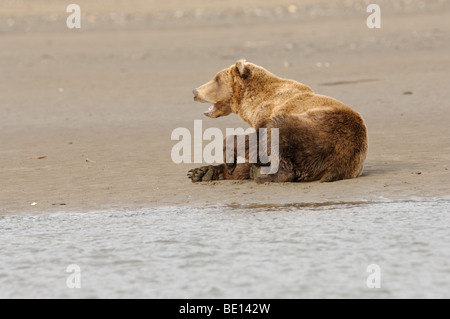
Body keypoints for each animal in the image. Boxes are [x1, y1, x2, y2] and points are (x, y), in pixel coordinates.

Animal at [188, 60, 368, 185]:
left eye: (216, 79)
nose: (195, 91)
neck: (253, 104)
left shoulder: (270, 113)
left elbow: (257, 141)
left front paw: (229, 160)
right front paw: (200, 172)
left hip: (321, 130)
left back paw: (266, 177)